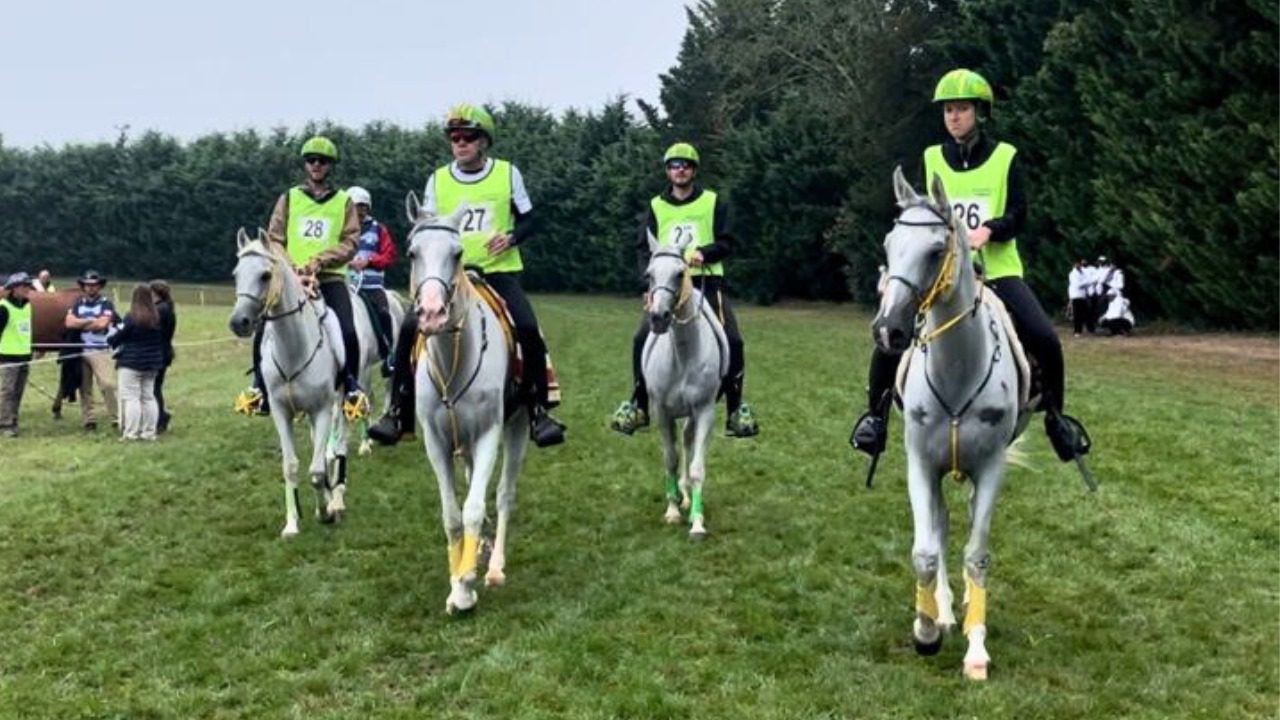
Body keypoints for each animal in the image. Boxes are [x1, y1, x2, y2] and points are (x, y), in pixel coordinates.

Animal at [230, 226, 355, 535]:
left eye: (265, 275)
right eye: (236, 274)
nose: (238, 322)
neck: (294, 350)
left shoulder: (321, 410)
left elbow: (317, 471)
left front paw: (325, 511)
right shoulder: (280, 411)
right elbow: (291, 466)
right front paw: (292, 523)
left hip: (339, 403)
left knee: (337, 447)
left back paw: (336, 499)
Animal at [401, 194, 527, 609]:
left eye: (456, 253)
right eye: (412, 252)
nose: (432, 313)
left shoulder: (489, 432)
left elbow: (473, 508)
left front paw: (468, 582)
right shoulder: (436, 441)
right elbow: (452, 514)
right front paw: (457, 584)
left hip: (518, 427)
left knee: (503, 496)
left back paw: (495, 566)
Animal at [645, 226, 727, 535]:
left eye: (680, 273)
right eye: (649, 274)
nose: (658, 318)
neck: (682, 353)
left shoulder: (704, 411)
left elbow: (696, 467)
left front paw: (697, 522)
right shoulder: (662, 411)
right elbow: (670, 458)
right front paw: (671, 510)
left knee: (689, 442)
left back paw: (688, 497)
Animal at [870, 167, 1018, 676]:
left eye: (936, 251)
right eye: (889, 244)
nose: (888, 331)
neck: (958, 369)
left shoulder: (991, 467)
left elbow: (977, 555)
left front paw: (976, 649)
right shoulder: (920, 463)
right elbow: (925, 551)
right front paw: (927, 631)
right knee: (940, 525)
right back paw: (946, 610)